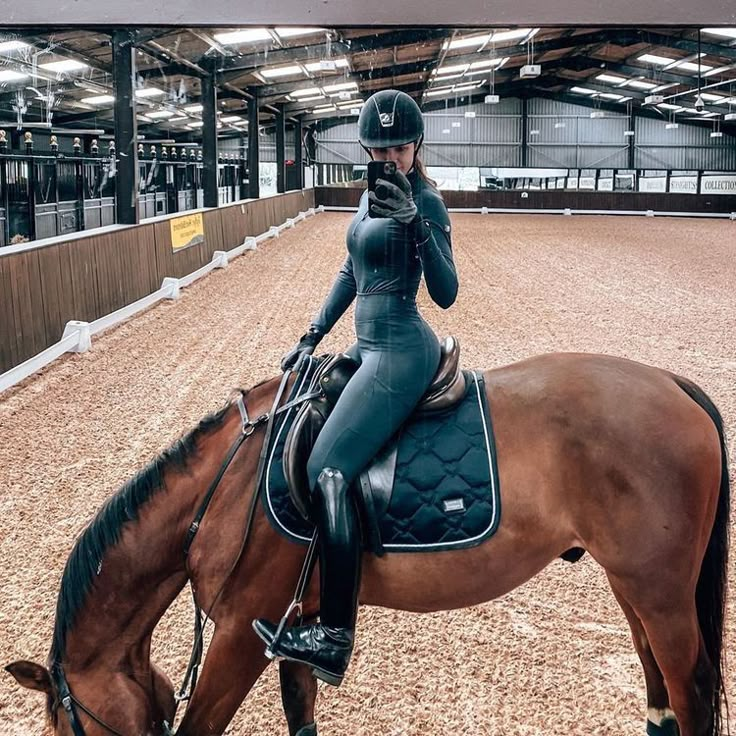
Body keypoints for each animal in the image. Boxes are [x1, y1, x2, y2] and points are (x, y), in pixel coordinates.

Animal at [5, 352, 732, 736]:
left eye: (66, 726)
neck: (226, 488)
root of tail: (671, 384)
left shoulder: (241, 630)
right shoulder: (290, 627)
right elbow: (300, 716)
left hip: (660, 591)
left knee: (691, 690)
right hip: (632, 584)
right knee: (660, 686)